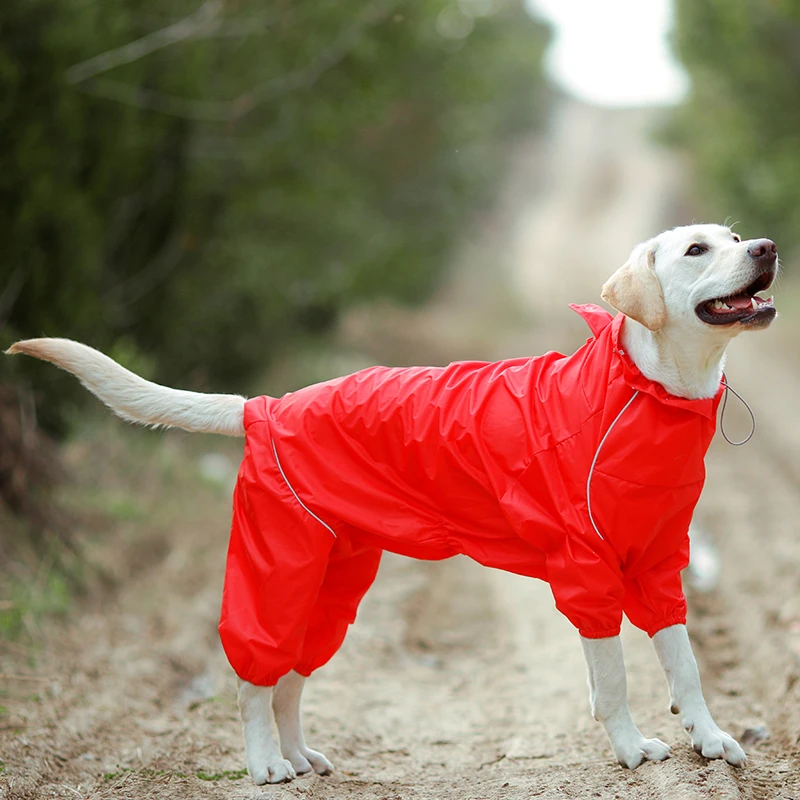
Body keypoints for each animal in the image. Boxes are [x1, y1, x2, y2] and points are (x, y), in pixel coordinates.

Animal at [4, 223, 776, 780]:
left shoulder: (658, 563)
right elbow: (612, 681)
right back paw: (265, 764)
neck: (650, 391)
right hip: (278, 575)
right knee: (255, 679)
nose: (767, 247)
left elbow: (685, 663)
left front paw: (709, 736)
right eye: (697, 249)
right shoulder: (586, 573)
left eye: (735, 235)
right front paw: (632, 747)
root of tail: (264, 408)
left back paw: (300, 756)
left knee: (289, 683)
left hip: (334, 586)